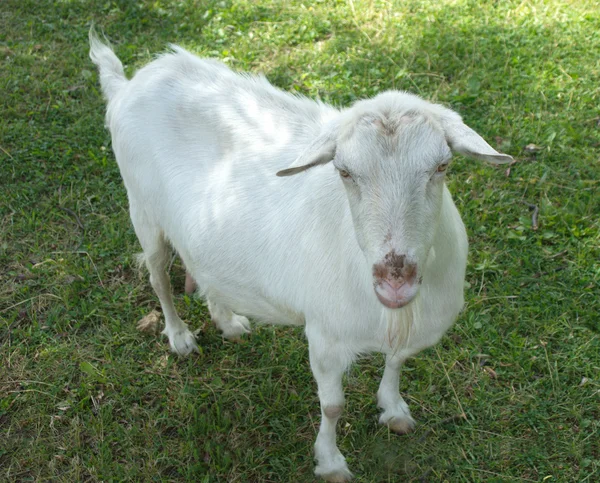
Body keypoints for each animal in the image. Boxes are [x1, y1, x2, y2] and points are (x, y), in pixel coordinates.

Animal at [89, 32, 510, 482]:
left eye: (442, 166)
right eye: (343, 171)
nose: (394, 278)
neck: (394, 314)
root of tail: (130, 83)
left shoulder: (406, 327)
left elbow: (397, 362)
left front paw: (394, 410)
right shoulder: (325, 337)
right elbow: (333, 406)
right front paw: (331, 462)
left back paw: (228, 322)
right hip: (143, 211)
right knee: (159, 278)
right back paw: (180, 336)